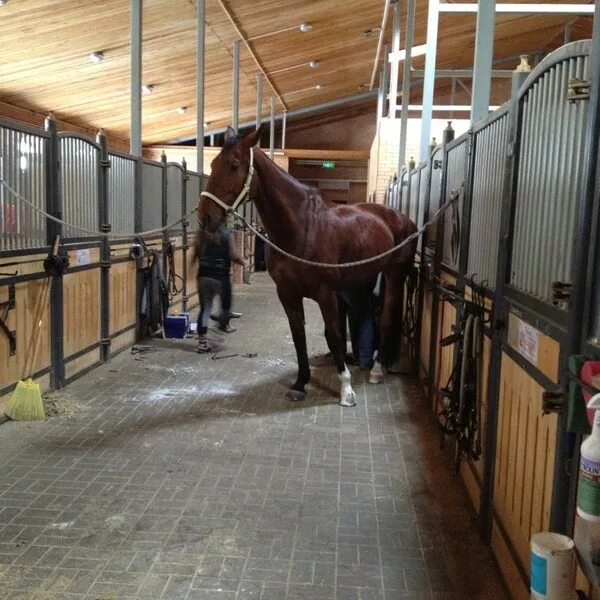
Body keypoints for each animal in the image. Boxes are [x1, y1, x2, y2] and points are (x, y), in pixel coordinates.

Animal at [199, 126, 414, 408]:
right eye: (213, 164)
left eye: (234, 165)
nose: (205, 216)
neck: (302, 228)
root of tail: (399, 218)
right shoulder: (287, 293)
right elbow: (298, 334)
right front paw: (301, 383)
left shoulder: (326, 294)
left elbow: (333, 335)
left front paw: (346, 389)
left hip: (394, 275)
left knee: (387, 318)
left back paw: (377, 370)